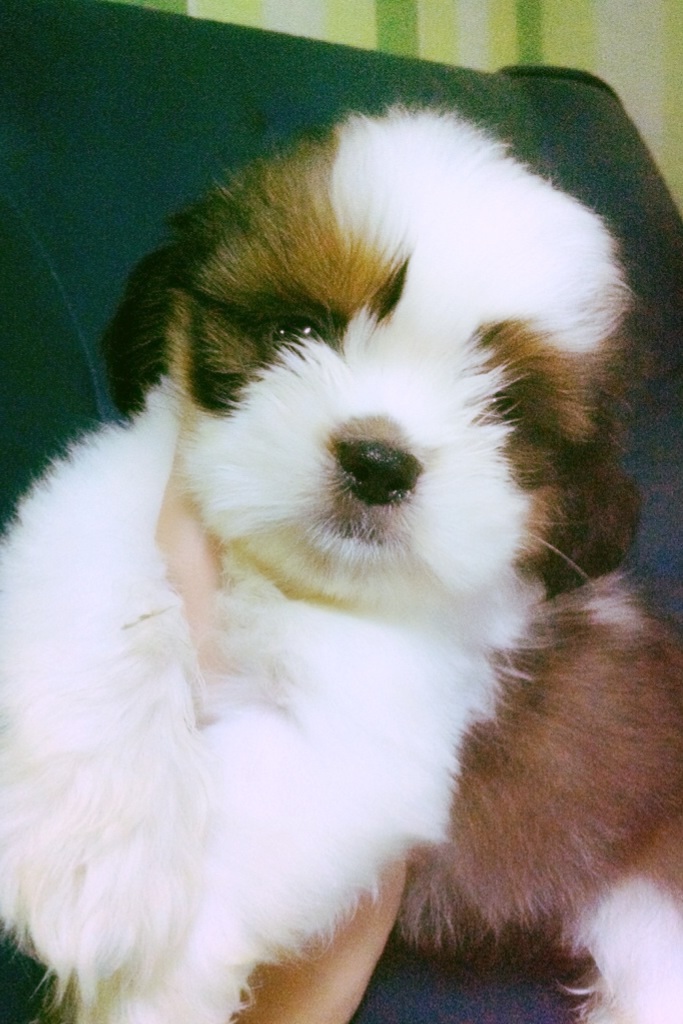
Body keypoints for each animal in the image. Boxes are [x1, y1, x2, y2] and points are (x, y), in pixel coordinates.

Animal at [1, 107, 682, 1024]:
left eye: (502, 407)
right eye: (298, 331)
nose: (379, 462)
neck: (292, 582)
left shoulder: (368, 732)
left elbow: (247, 824)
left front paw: (146, 986)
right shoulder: (116, 494)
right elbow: (99, 611)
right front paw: (100, 856)